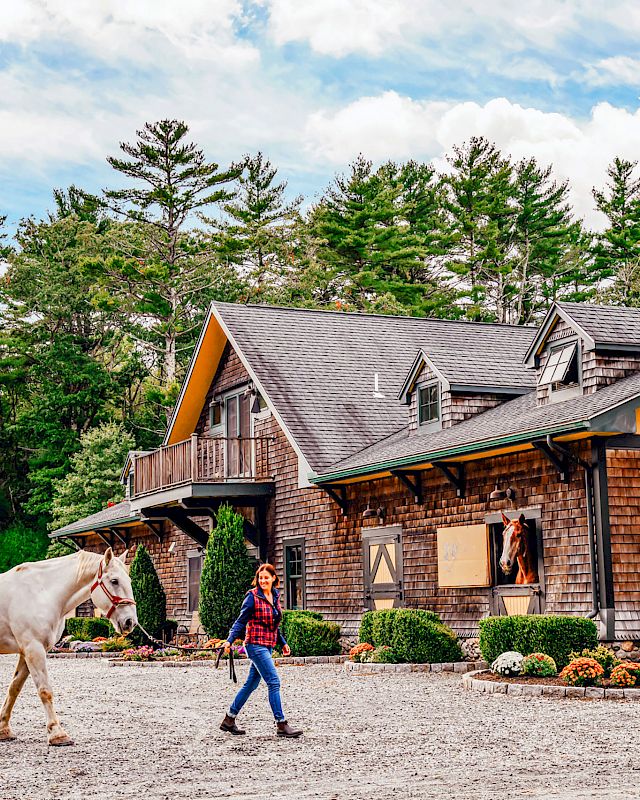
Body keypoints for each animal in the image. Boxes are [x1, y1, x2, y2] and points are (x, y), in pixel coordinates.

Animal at [0, 548, 136, 748]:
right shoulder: (34, 649)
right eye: (114, 581)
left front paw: (4, 729)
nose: (130, 622)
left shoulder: (27, 651)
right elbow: (45, 691)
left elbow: (14, 688)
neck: (41, 593)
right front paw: (57, 734)